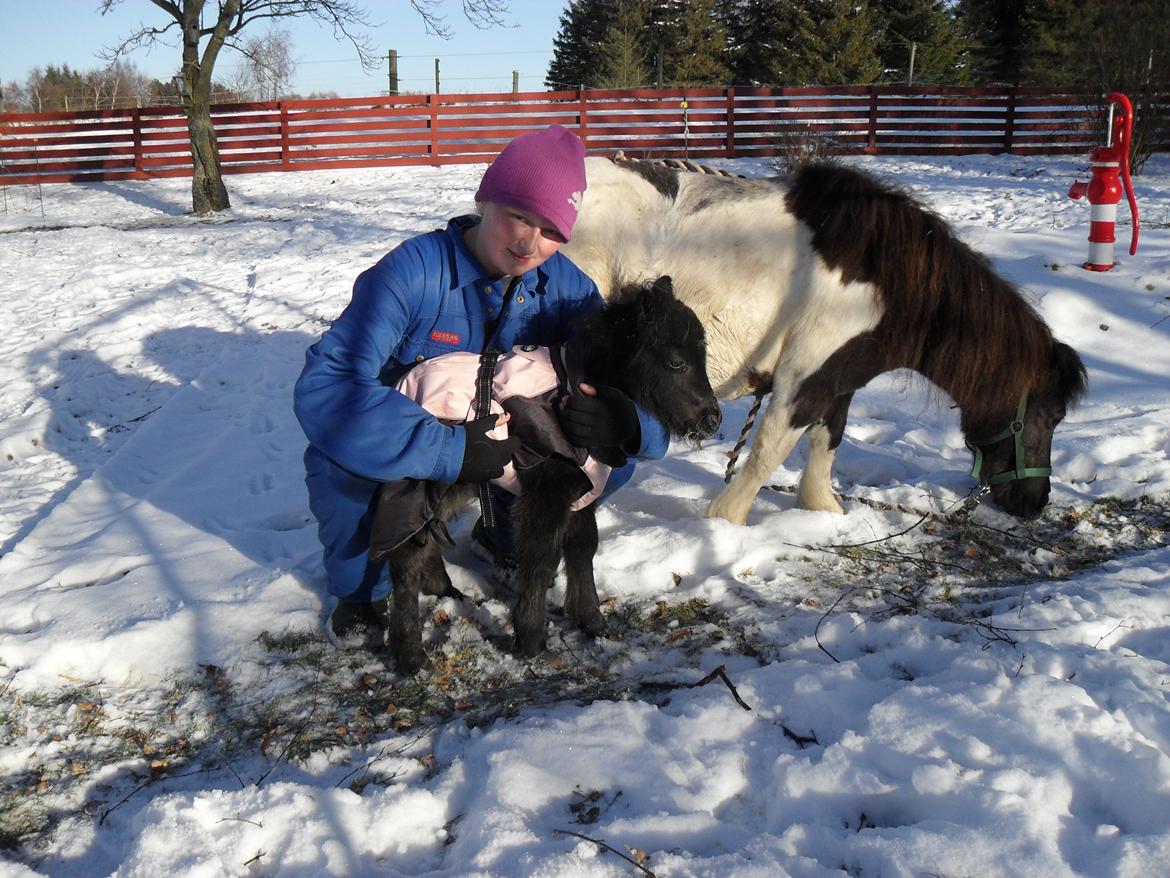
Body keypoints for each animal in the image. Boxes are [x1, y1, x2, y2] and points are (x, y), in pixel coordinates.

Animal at [374, 278, 720, 678]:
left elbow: (583, 548)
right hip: (419, 484)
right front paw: (531, 639)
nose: (713, 420)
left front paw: (592, 621)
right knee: (404, 558)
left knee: (426, 539)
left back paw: (444, 591)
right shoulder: (547, 489)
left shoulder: (582, 490)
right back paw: (411, 655)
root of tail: (402, 387)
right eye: (676, 362)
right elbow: (540, 559)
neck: (573, 389)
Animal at [566, 158, 1085, 526]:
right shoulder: (802, 380)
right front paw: (724, 524)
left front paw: (823, 513)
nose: (1033, 503)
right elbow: (769, 453)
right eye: (1051, 416)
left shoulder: (838, 379)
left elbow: (826, 443)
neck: (881, 281)